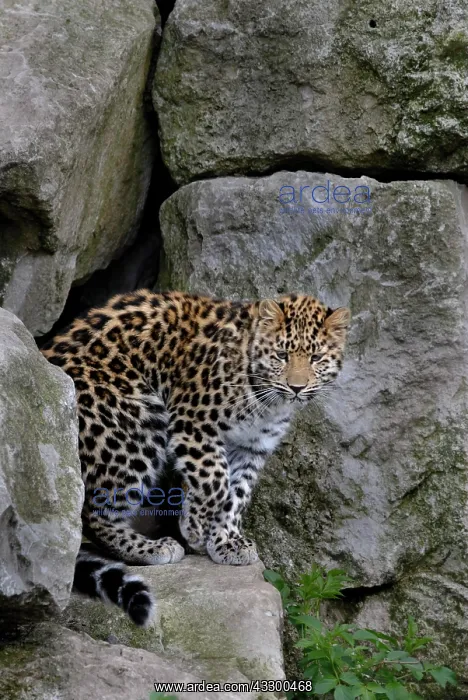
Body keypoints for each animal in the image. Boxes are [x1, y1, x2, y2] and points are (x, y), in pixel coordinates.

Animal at [42, 290, 350, 626]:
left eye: (316, 358)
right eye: (281, 355)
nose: (296, 387)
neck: (267, 401)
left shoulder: (252, 446)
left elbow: (236, 493)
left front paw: (226, 542)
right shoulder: (193, 423)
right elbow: (215, 479)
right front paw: (195, 527)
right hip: (135, 423)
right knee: (92, 513)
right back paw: (149, 548)